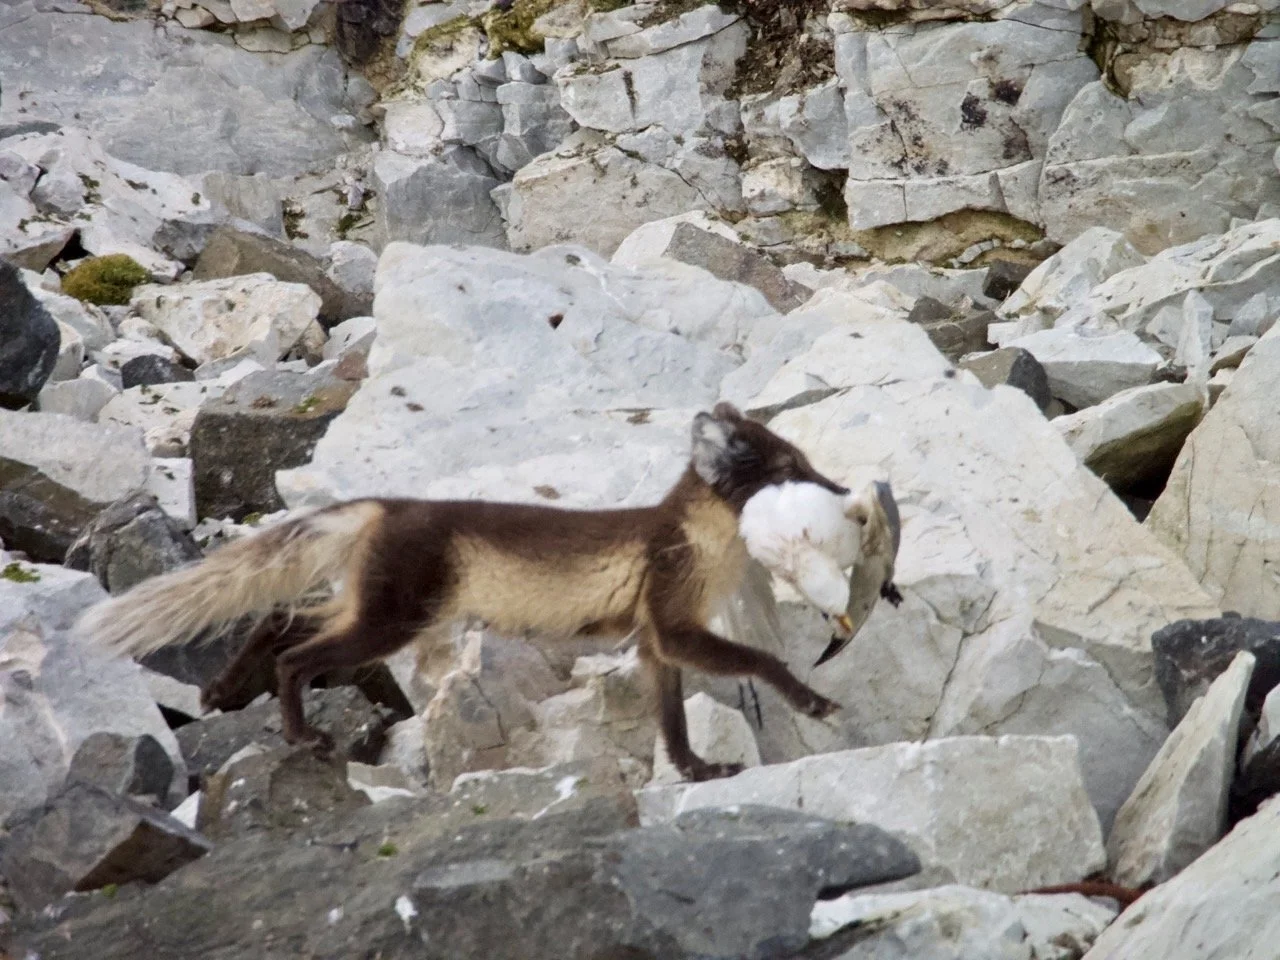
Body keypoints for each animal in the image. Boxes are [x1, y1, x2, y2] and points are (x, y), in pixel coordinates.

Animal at [76, 402, 847, 782]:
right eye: (790, 466)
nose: (843, 489)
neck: (704, 548)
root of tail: (385, 505)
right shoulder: (672, 619)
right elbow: (760, 661)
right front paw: (813, 700)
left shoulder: (656, 642)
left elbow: (672, 720)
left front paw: (699, 770)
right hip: (391, 620)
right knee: (296, 653)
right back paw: (305, 736)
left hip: (370, 609)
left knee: (279, 619)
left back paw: (221, 690)